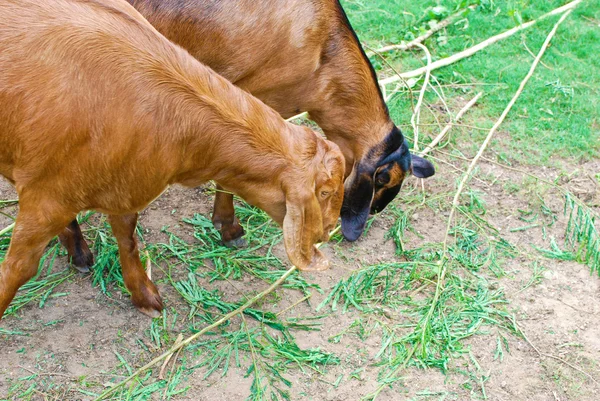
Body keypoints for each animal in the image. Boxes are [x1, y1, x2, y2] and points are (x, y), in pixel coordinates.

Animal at [0, 0, 342, 318]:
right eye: (325, 192)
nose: (329, 230)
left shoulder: (122, 184)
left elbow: (127, 235)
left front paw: (143, 294)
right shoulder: (46, 201)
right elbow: (17, 269)